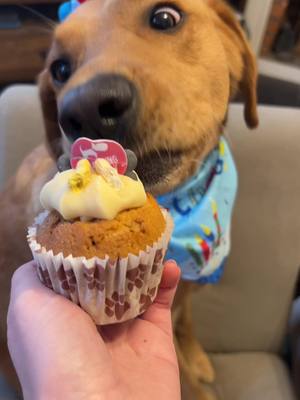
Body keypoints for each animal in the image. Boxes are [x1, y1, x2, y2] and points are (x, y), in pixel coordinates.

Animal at [0, 1, 258, 398]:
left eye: (165, 17)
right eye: (60, 69)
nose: (86, 108)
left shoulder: (186, 291)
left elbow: (186, 320)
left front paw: (196, 354)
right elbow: (185, 375)